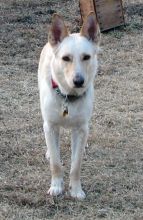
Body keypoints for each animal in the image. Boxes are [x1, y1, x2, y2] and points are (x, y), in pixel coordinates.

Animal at [38, 12, 100, 200]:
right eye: (66, 58)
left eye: (86, 57)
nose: (79, 81)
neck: (68, 97)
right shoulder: (50, 126)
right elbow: (56, 163)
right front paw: (57, 186)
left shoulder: (81, 128)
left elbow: (76, 165)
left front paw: (76, 190)